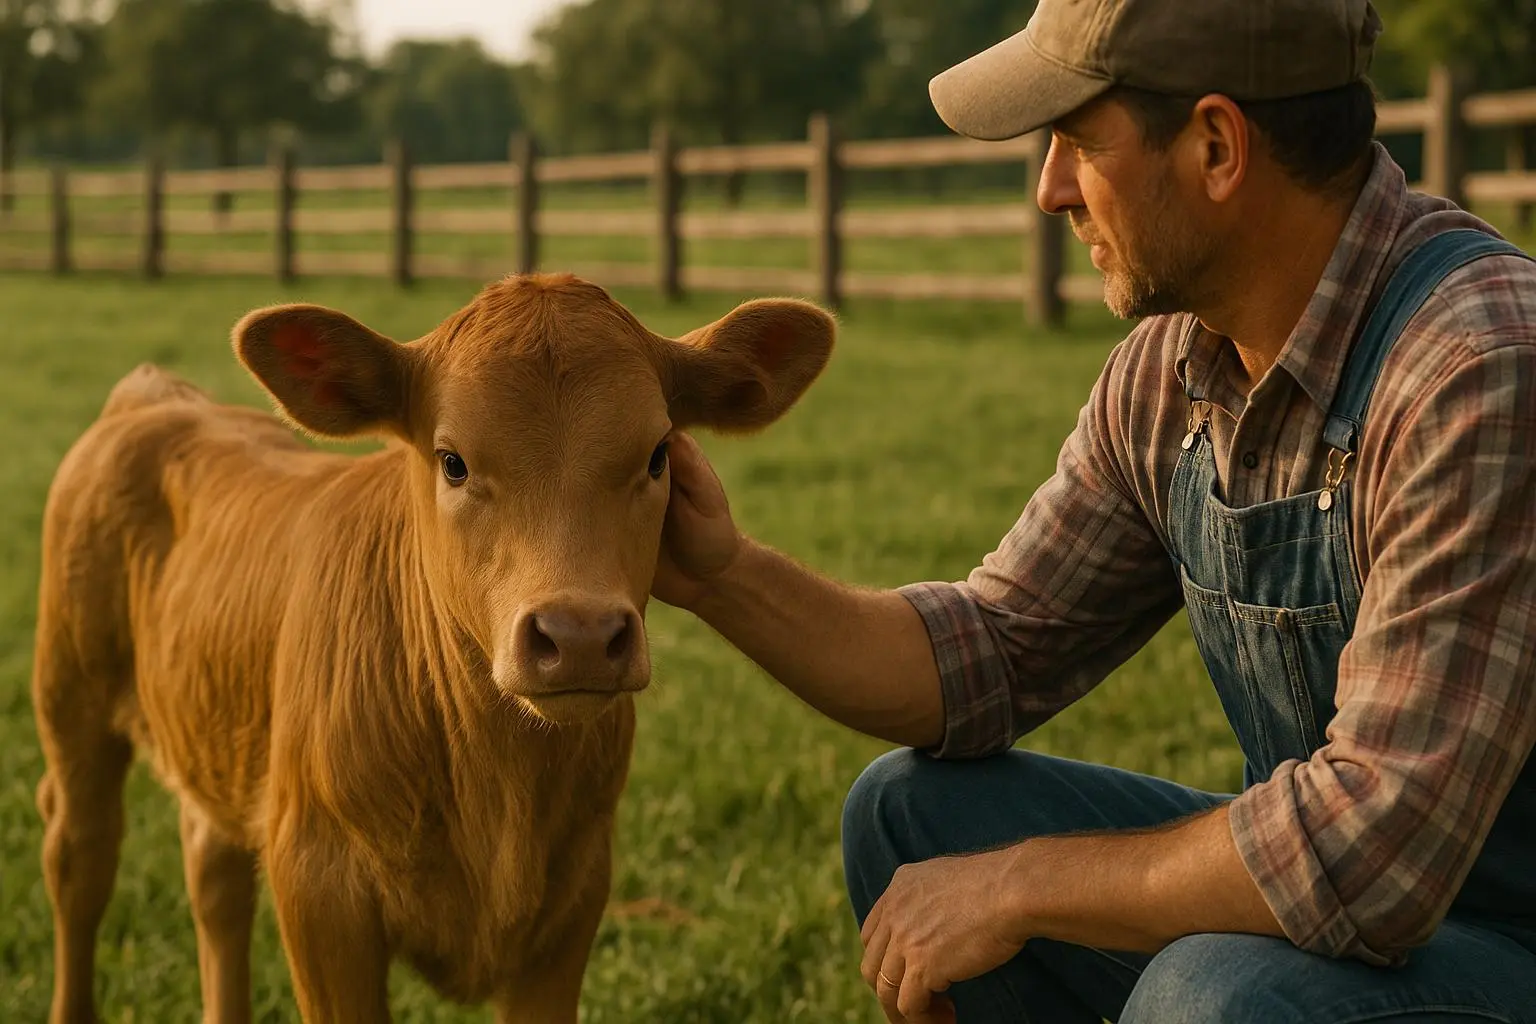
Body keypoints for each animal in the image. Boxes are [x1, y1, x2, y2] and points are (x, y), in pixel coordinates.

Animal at [28, 272, 835, 1024]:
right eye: (452, 461)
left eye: (659, 454)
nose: (578, 635)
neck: (495, 782)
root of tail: (157, 398)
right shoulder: (320, 893)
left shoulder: (573, 898)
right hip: (71, 704)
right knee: (79, 860)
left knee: (213, 875)